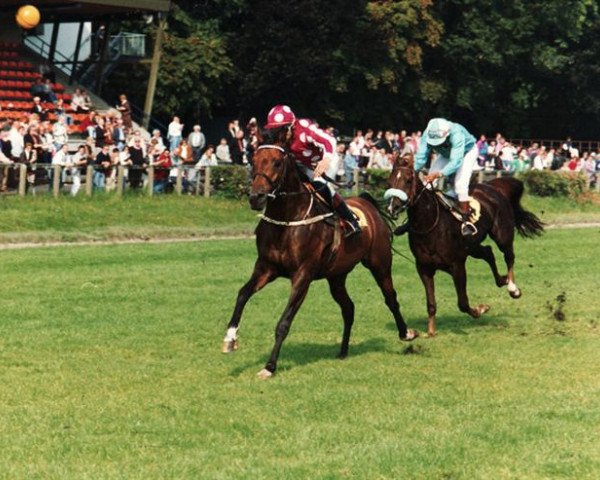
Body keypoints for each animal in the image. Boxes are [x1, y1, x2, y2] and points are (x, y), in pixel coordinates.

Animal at [223, 137, 414, 376]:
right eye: (253, 160)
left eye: (277, 163)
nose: (256, 197)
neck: (287, 220)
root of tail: (368, 204)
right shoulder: (266, 268)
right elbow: (242, 294)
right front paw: (230, 338)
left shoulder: (302, 275)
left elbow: (284, 322)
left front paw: (270, 366)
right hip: (337, 276)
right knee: (348, 308)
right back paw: (343, 350)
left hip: (380, 263)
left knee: (391, 298)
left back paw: (406, 333)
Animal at [384, 155, 544, 338]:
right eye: (389, 181)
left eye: (408, 180)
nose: (393, 207)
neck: (430, 224)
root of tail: (492, 187)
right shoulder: (424, 268)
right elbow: (431, 303)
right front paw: (431, 331)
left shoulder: (457, 266)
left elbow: (463, 303)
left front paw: (481, 309)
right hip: (472, 247)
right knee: (488, 253)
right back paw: (502, 280)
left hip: (502, 235)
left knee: (508, 256)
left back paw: (512, 287)